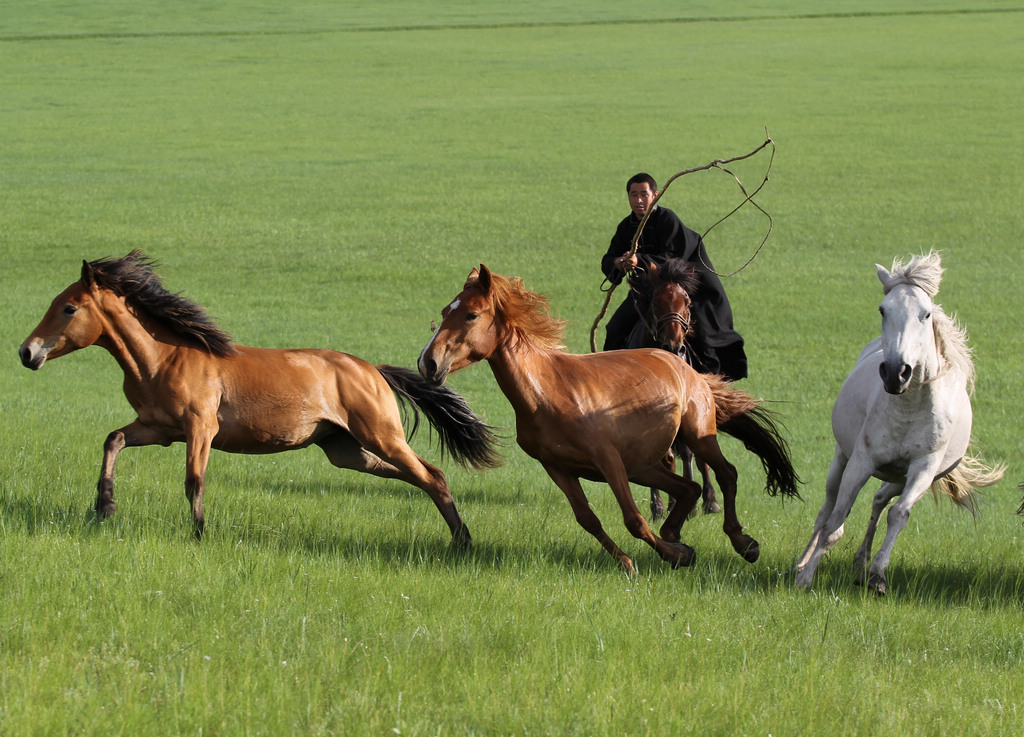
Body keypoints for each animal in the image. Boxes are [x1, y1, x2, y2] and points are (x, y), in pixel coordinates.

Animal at [19, 250, 499, 544]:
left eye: (68, 308)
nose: (27, 352)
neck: (164, 357)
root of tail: (373, 371)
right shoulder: (158, 429)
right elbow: (113, 439)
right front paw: (104, 508)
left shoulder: (200, 429)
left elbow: (194, 480)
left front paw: (199, 534)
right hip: (348, 451)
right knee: (420, 477)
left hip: (382, 437)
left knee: (433, 476)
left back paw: (463, 541)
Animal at [622, 257, 720, 517]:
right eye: (656, 302)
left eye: (687, 301)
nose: (675, 347)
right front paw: (659, 506)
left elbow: (687, 453)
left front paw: (692, 502)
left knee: (695, 455)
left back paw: (707, 502)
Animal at [794, 251, 1003, 593]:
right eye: (883, 309)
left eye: (926, 314)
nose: (896, 372)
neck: (909, 407)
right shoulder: (862, 462)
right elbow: (835, 522)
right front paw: (806, 577)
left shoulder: (923, 468)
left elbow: (899, 515)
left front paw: (878, 575)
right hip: (842, 459)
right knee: (827, 509)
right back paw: (799, 564)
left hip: (897, 476)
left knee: (880, 502)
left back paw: (862, 565)